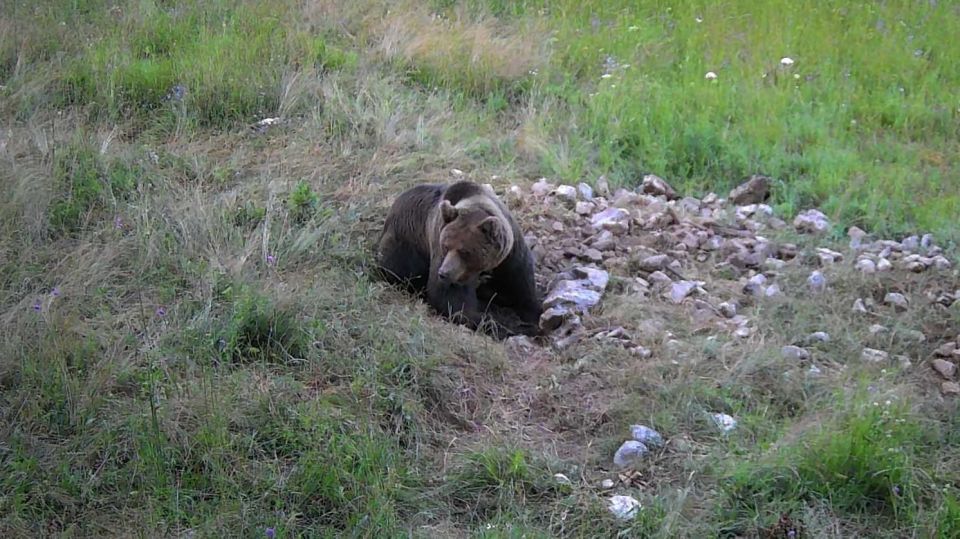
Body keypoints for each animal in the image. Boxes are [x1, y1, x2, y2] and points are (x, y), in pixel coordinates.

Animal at [374, 182, 540, 342]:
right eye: (446, 246)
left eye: (465, 251)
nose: (444, 273)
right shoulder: (439, 245)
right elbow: (451, 299)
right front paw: (501, 323)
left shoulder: (509, 257)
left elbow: (521, 287)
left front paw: (529, 318)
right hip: (404, 244)